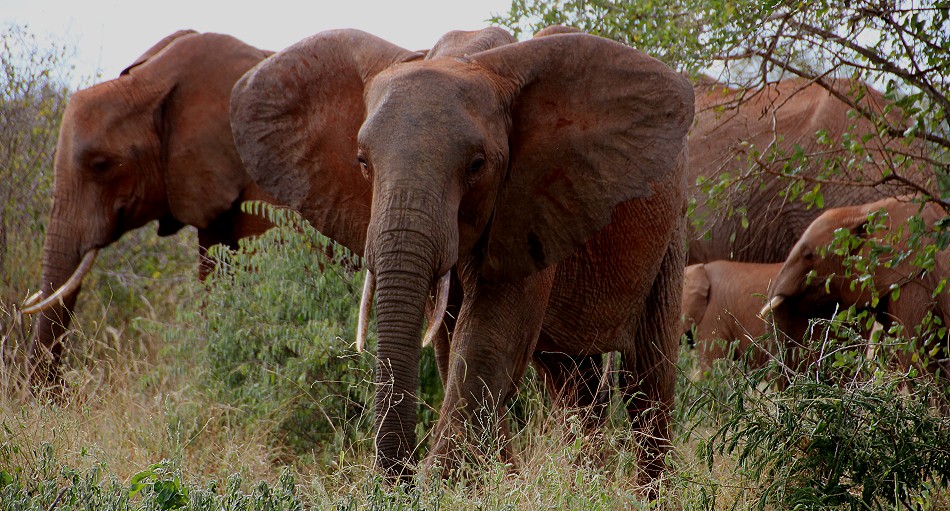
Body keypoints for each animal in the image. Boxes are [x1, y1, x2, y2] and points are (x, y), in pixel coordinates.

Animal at [230, 30, 692, 482]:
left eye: (477, 165)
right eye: (362, 162)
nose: (398, 475)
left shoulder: (524, 204)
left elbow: (488, 342)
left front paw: (441, 481)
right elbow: (450, 347)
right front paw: (495, 481)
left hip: (671, 235)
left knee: (647, 379)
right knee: (574, 383)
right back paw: (585, 481)